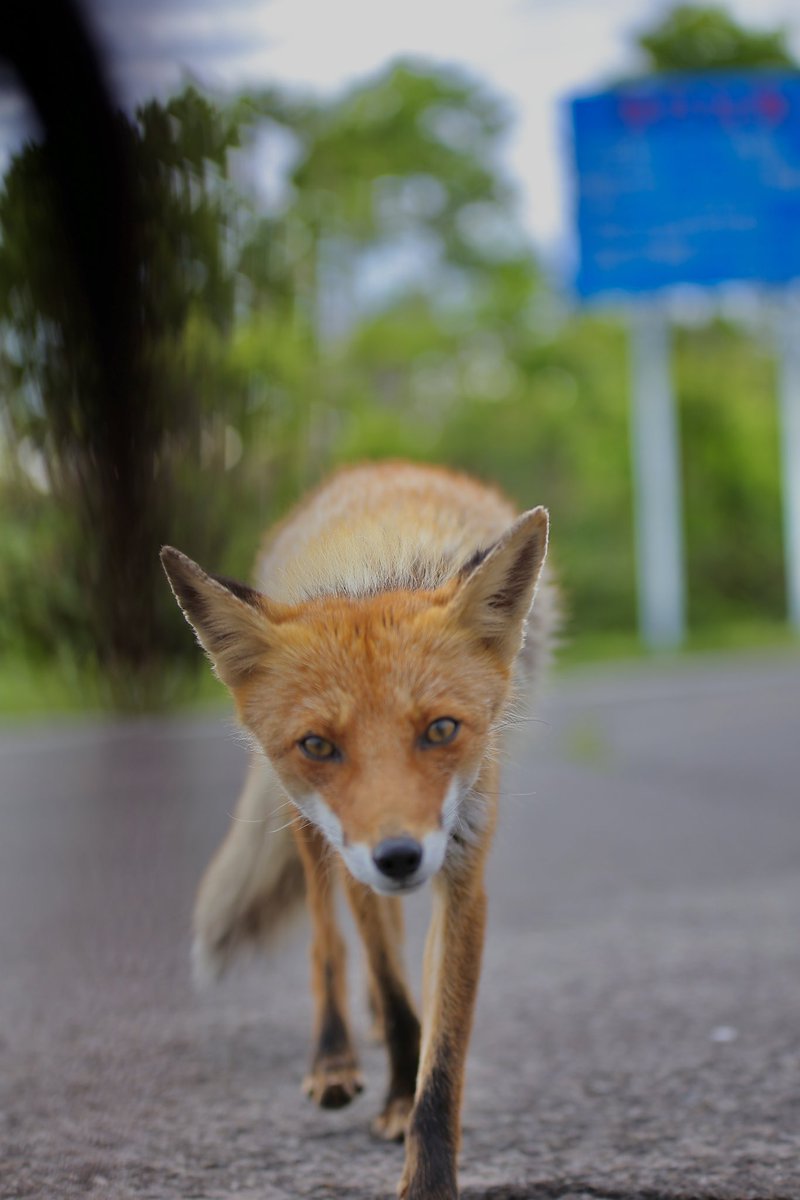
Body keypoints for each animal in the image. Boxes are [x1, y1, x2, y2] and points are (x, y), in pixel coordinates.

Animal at [160, 460, 556, 1200]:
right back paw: (335, 1055)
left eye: (441, 730)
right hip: (309, 830)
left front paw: (426, 1168)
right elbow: (396, 997)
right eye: (319, 745)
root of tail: (377, 467)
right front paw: (397, 1093)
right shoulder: (354, 853)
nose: (399, 857)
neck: (378, 570)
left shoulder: (464, 866)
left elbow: (444, 1055)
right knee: (329, 943)